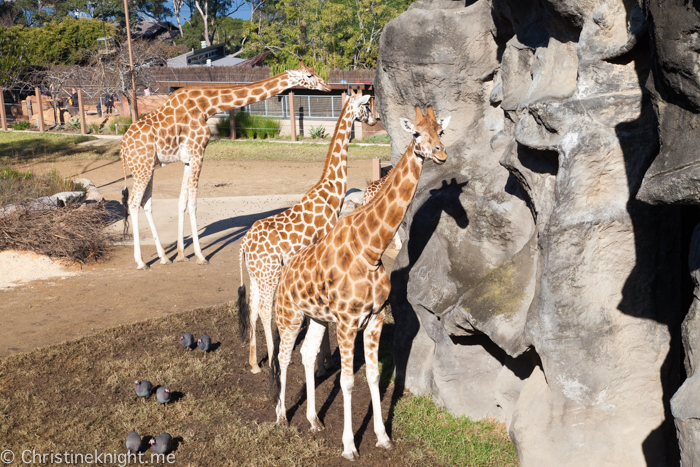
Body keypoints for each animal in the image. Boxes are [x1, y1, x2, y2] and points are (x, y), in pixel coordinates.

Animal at [119, 61, 330, 270]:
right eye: (309, 75)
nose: (327, 86)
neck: (207, 106)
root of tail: (122, 147)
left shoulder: (188, 158)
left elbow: (182, 202)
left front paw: (180, 255)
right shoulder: (198, 152)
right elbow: (193, 203)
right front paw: (200, 256)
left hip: (148, 167)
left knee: (146, 203)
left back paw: (163, 257)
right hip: (142, 167)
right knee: (133, 202)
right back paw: (141, 262)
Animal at [237, 92, 378, 376]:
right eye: (366, 106)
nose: (374, 119)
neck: (332, 192)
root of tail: (244, 245)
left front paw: (323, 362)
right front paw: (325, 363)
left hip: (256, 275)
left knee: (253, 309)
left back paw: (254, 364)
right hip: (270, 273)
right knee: (265, 310)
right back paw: (272, 358)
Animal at [270, 106, 452, 460]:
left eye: (441, 130)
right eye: (416, 133)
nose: (441, 154)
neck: (371, 249)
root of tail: (284, 272)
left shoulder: (375, 318)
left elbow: (373, 375)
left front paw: (382, 437)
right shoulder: (346, 321)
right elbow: (347, 382)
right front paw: (349, 447)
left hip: (315, 317)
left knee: (307, 354)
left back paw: (313, 420)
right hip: (290, 316)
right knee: (284, 358)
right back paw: (282, 417)